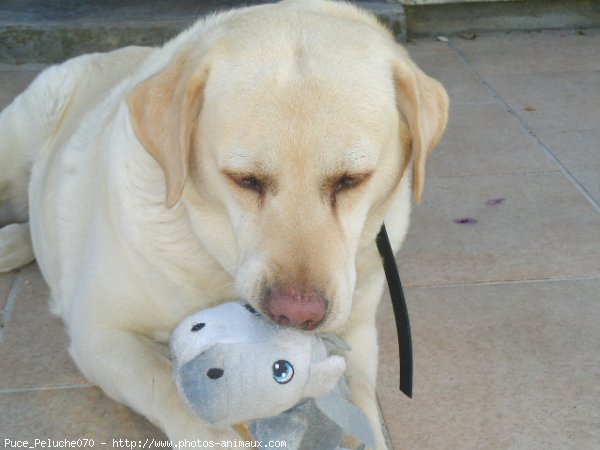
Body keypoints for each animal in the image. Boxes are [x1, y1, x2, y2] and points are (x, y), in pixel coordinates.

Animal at [0, 0, 446, 446]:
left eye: (351, 180)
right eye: (245, 179)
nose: (296, 316)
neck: (213, 261)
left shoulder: (356, 336)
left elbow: (362, 409)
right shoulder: (101, 332)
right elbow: (171, 387)